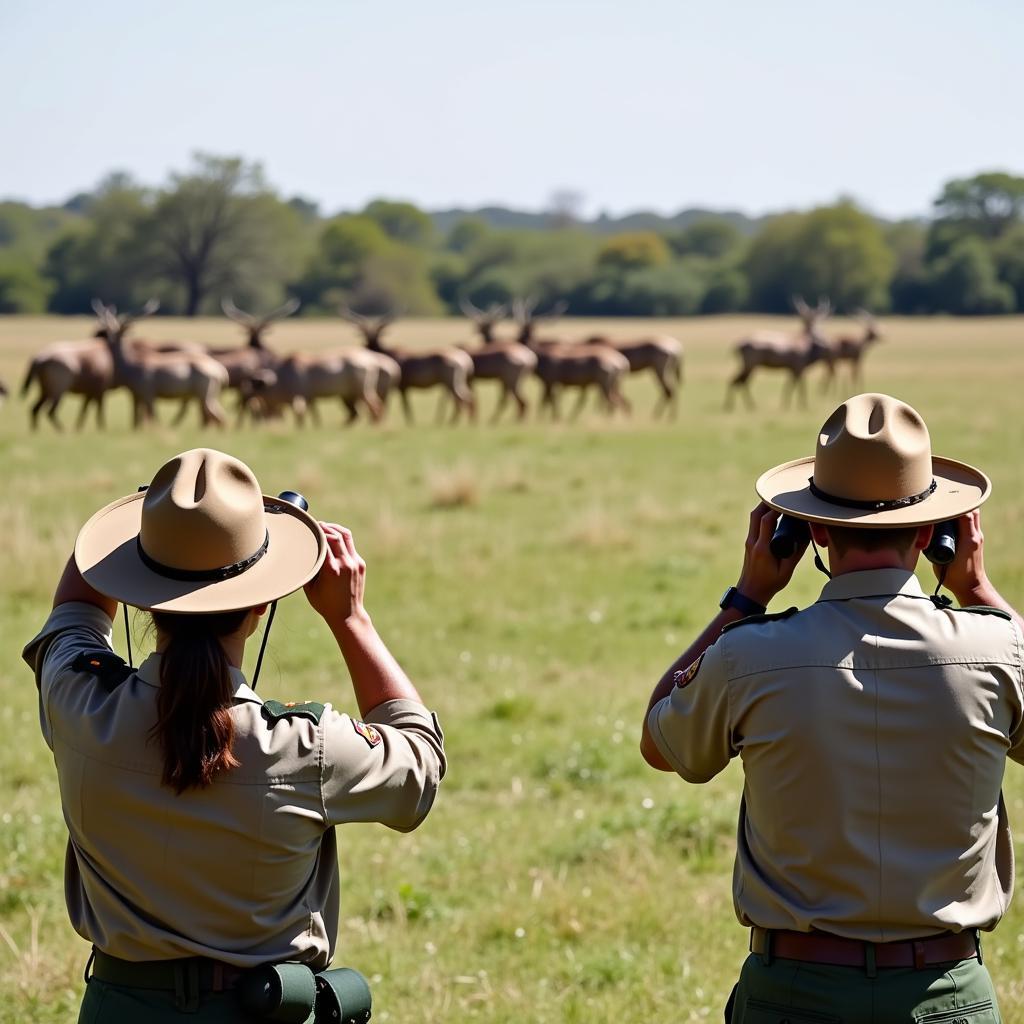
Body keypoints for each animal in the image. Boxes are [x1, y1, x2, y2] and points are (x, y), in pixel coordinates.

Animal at [93, 299, 228, 425]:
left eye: (116, 333)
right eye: (107, 330)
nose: (107, 341)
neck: (129, 365)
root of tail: (220, 371)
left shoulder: (148, 394)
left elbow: (153, 417)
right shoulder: (136, 395)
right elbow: (136, 420)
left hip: (203, 395)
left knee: (217, 416)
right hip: (207, 396)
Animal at [339, 303, 475, 423]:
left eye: (377, 337)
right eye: (365, 336)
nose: (367, 348)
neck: (390, 353)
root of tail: (463, 360)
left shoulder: (401, 387)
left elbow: (404, 405)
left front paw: (410, 422)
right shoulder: (403, 388)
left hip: (450, 382)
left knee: (461, 398)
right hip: (454, 382)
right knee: (465, 397)